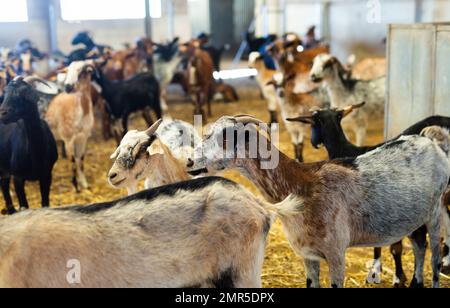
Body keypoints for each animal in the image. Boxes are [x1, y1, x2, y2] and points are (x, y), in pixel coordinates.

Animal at [0, 76, 58, 214]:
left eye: (23, 93)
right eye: (4, 93)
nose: (3, 113)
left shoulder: (47, 175)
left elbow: (45, 203)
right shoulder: (17, 177)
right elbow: (24, 206)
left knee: (3, 183)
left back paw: (11, 210)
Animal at [45, 61, 96, 191]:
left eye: (82, 72)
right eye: (67, 72)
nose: (67, 87)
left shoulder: (83, 138)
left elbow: (80, 160)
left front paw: (85, 184)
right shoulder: (68, 139)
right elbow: (73, 161)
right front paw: (76, 187)